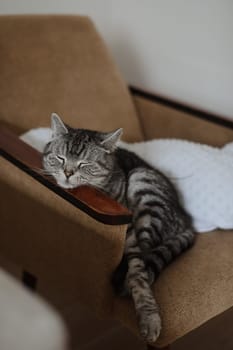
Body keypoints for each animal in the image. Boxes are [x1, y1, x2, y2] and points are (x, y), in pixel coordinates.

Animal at [43, 113, 195, 344]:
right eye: (60, 158)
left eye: (85, 163)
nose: (68, 172)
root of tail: (186, 219)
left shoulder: (131, 237)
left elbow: (139, 277)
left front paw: (149, 318)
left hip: (143, 181)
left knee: (146, 258)